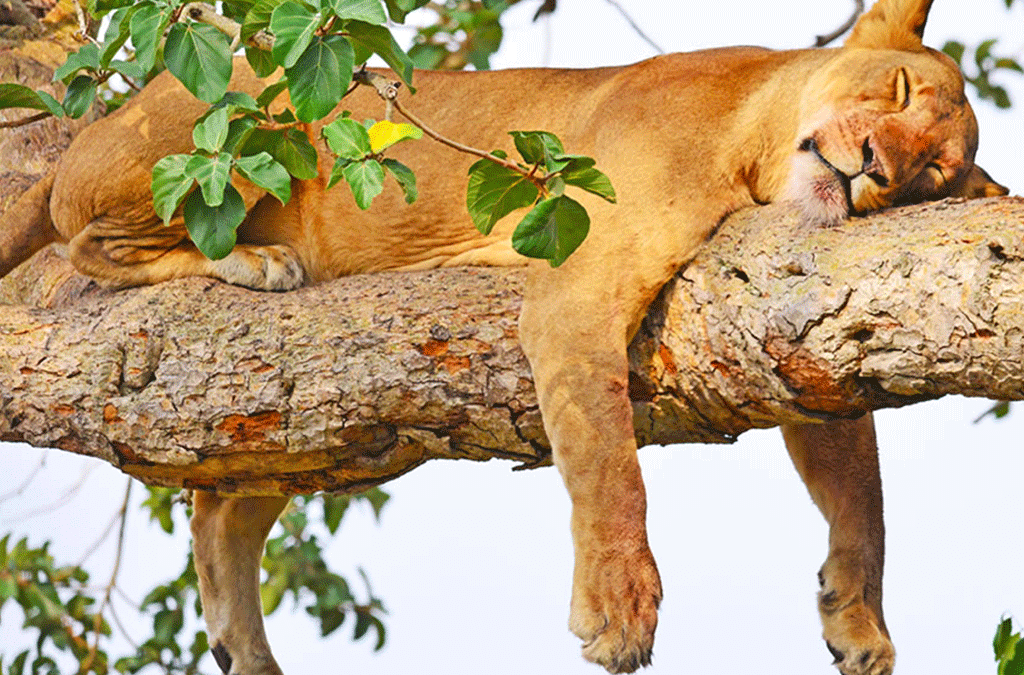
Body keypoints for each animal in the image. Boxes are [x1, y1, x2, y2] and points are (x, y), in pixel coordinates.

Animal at [0, 0, 1010, 674]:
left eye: (931, 173)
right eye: (899, 86)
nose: (873, 166)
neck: (755, 141)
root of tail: (93, 127)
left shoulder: (788, 334)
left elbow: (861, 488)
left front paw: (859, 619)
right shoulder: (573, 289)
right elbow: (610, 464)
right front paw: (619, 606)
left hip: (313, 438)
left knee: (221, 509)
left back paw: (246, 651)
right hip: (243, 123)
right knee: (88, 239)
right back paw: (253, 261)